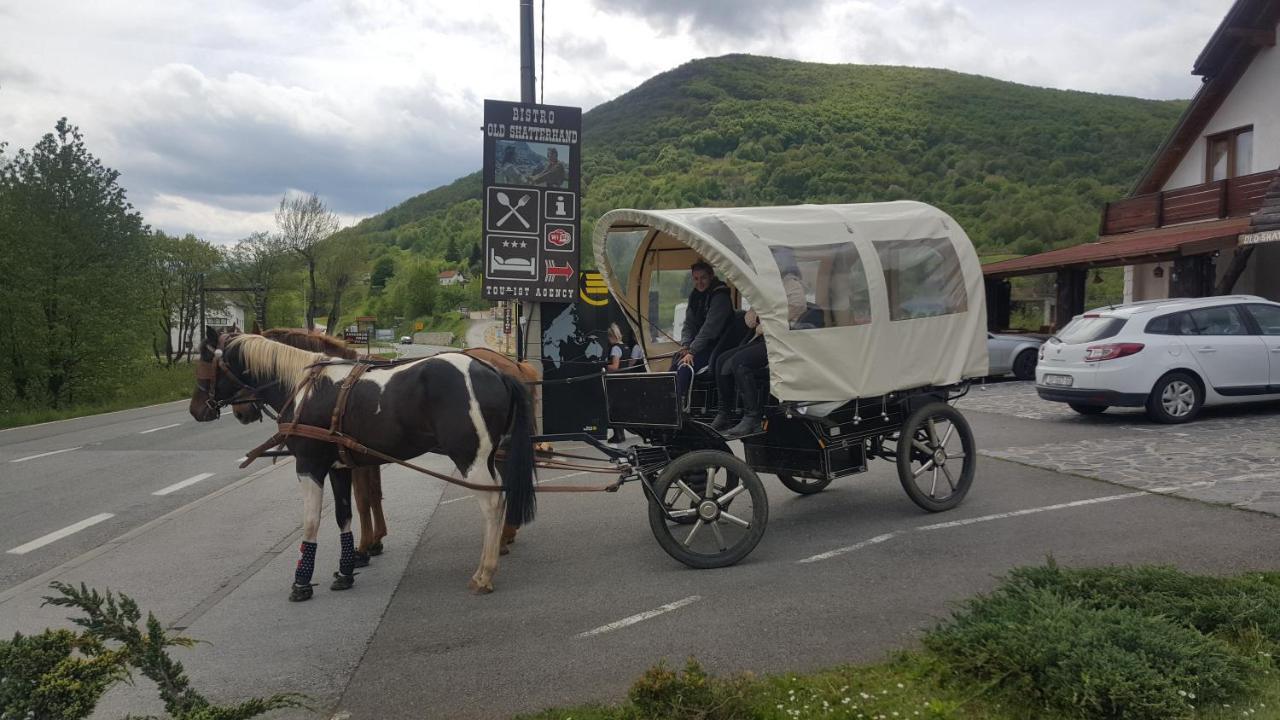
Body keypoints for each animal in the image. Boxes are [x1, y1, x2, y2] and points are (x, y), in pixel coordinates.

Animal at [189, 327, 535, 597]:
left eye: (205, 358)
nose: (196, 409)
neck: (306, 387)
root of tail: (496, 371)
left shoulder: (310, 466)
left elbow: (313, 520)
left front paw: (302, 582)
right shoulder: (339, 468)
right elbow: (345, 515)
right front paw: (347, 570)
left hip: (470, 458)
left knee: (492, 504)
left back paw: (485, 571)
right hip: (488, 456)